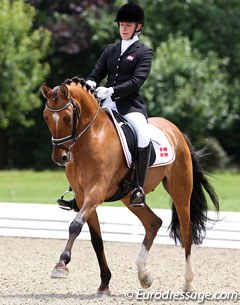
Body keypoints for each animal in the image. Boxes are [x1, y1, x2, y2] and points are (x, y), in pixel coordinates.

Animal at [41, 77, 219, 296]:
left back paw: (187, 283)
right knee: (153, 223)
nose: (60, 157)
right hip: (129, 197)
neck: (91, 137)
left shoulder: (96, 192)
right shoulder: (83, 198)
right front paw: (104, 284)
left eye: (66, 118)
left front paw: (61, 265)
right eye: (46, 117)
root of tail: (176, 131)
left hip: (181, 193)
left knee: (186, 234)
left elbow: (75, 225)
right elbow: (96, 240)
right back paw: (144, 276)